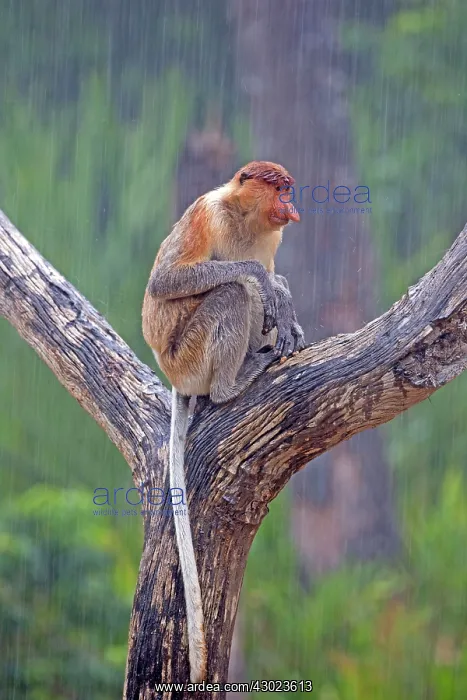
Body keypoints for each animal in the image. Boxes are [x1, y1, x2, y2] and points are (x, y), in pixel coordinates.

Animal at [142, 161, 305, 682]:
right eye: (280, 189)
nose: (292, 206)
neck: (244, 219)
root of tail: (176, 376)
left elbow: (273, 279)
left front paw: (287, 308)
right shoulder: (207, 214)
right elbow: (169, 282)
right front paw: (268, 285)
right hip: (190, 357)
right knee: (233, 292)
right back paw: (232, 384)